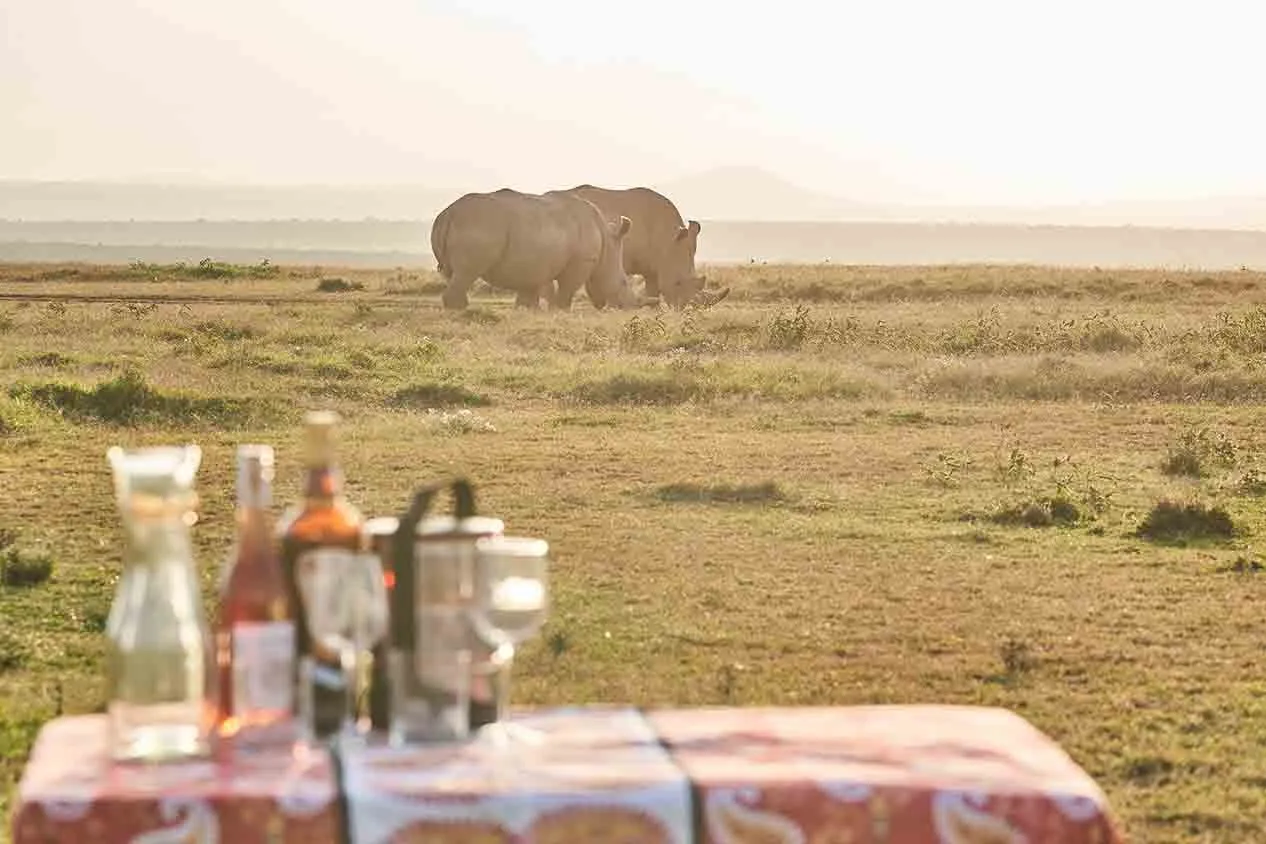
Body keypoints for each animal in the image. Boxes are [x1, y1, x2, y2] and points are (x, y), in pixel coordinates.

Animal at [430, 188, 645, 311]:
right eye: (624, 282)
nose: (630, 307)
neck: (606, 246)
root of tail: (447, 214)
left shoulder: (533, 263)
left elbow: (528, 290)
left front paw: (527, 310)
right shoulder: (581, 261)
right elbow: (568, 288)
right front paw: (560, 311)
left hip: (470, 223)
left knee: (454, 274)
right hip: (480, 224)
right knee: (467, 272)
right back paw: (460, 311)